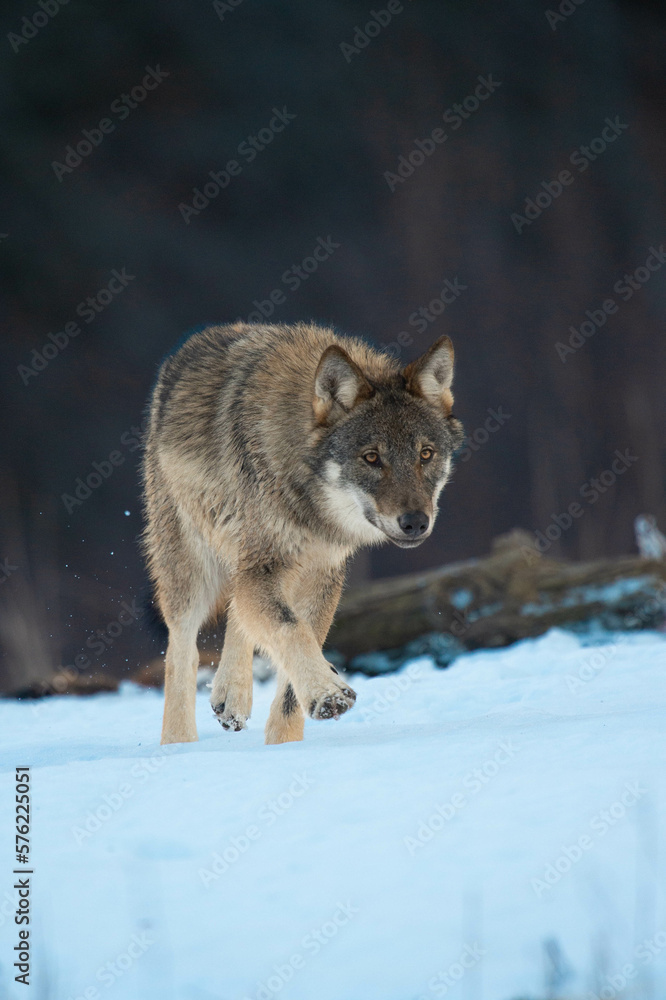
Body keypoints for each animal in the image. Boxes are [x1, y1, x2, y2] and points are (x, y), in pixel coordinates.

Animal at [142, 322, 463, 745]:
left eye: (425, 454)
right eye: (371, 457)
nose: (415, 522)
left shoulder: (320, 572)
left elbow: (294, 664)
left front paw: (285, 745)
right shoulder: (265, 566)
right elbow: (290, 630)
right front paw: (328, 694)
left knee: (238, 609)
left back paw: (231, 696)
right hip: (191, 565)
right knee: (182, 647)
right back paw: (178, 744)